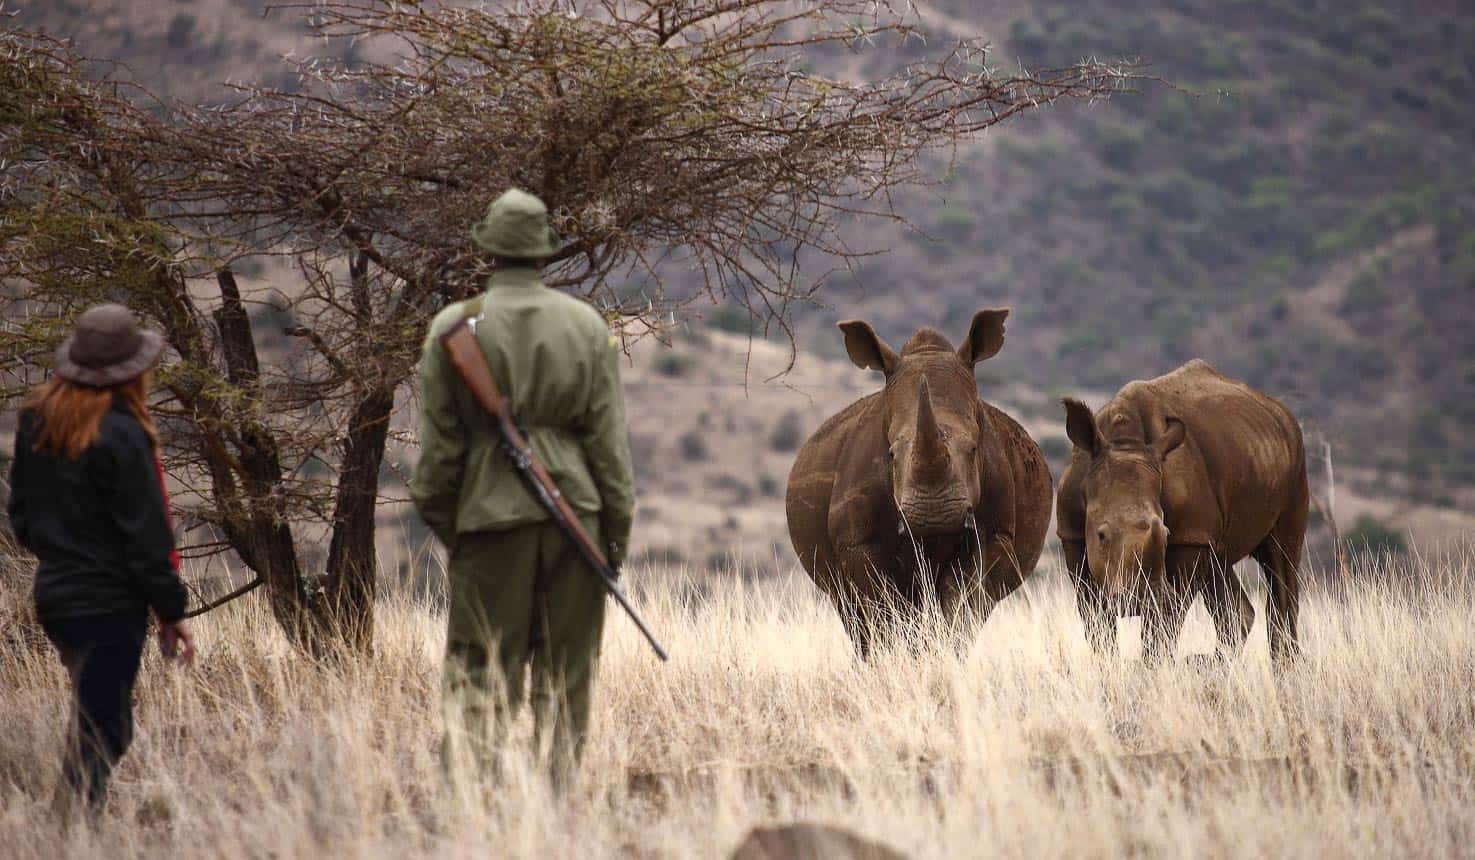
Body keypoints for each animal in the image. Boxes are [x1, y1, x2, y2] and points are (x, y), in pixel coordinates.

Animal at [785, 310, 1053, 655]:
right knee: (853, 612)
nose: (934, 516)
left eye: (974, 449)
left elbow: (960, 608)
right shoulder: (858, 542)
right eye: (891, 453)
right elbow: (882, 612)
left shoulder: (995, 534)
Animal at [1056, 359, 1309, 664]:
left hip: (1296, 462)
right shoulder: (1072, 535)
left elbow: (1162, 626)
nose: (1138, 599)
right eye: (1101, 535)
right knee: (1222, 567)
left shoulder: (1188, 536)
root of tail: (1280, 411)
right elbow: (1096, 622)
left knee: (1282, 559)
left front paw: (1152, 671)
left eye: (1166, 535)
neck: (1124, 442)